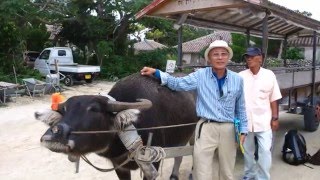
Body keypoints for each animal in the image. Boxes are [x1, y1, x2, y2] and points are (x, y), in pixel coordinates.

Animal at [37, 72, 198, 179]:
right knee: (179, 155)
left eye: (94, 109)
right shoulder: (119, 166)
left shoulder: (153, 164)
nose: (54, 134)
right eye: (65, 110)